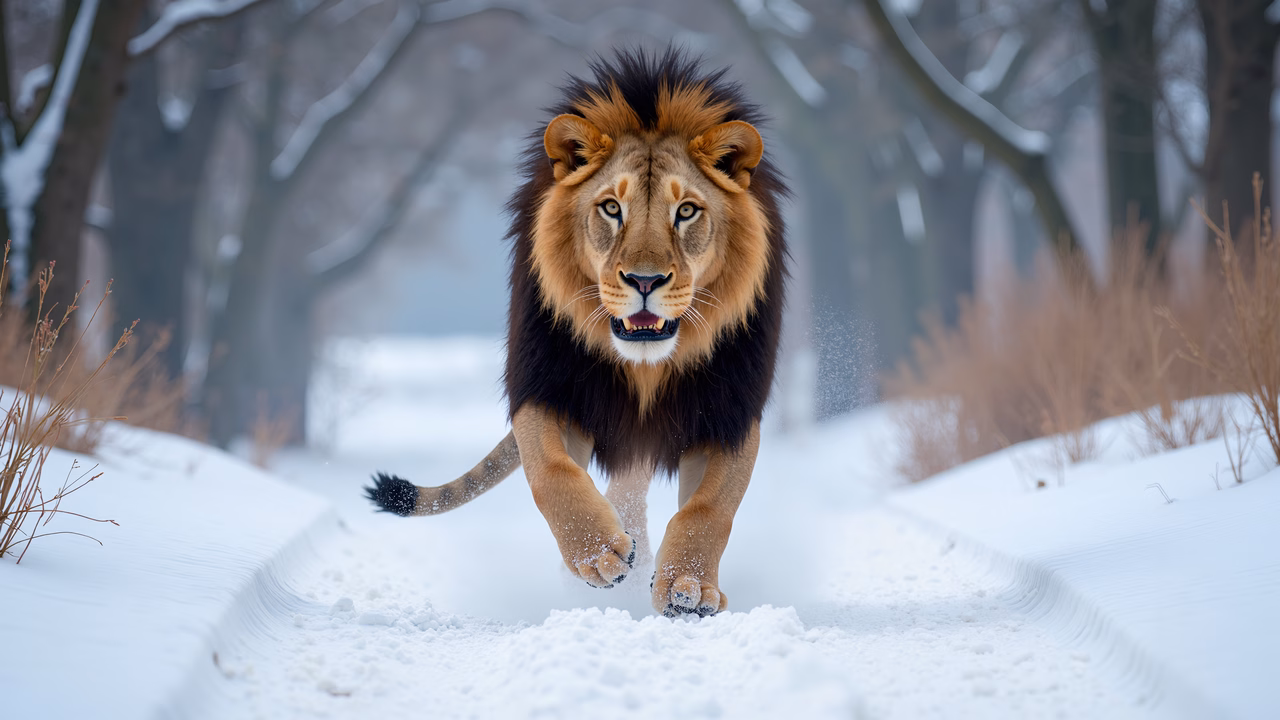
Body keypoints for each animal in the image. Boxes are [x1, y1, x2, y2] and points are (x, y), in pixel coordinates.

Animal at [365, 48, 787, 617]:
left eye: (686, 211)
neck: (645, 367)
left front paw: (688, 585)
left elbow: (710, 505)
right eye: (611, 208)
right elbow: (551, 472)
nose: (645, 281)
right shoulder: (549, 384)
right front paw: (598, 553)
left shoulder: (730, 408)